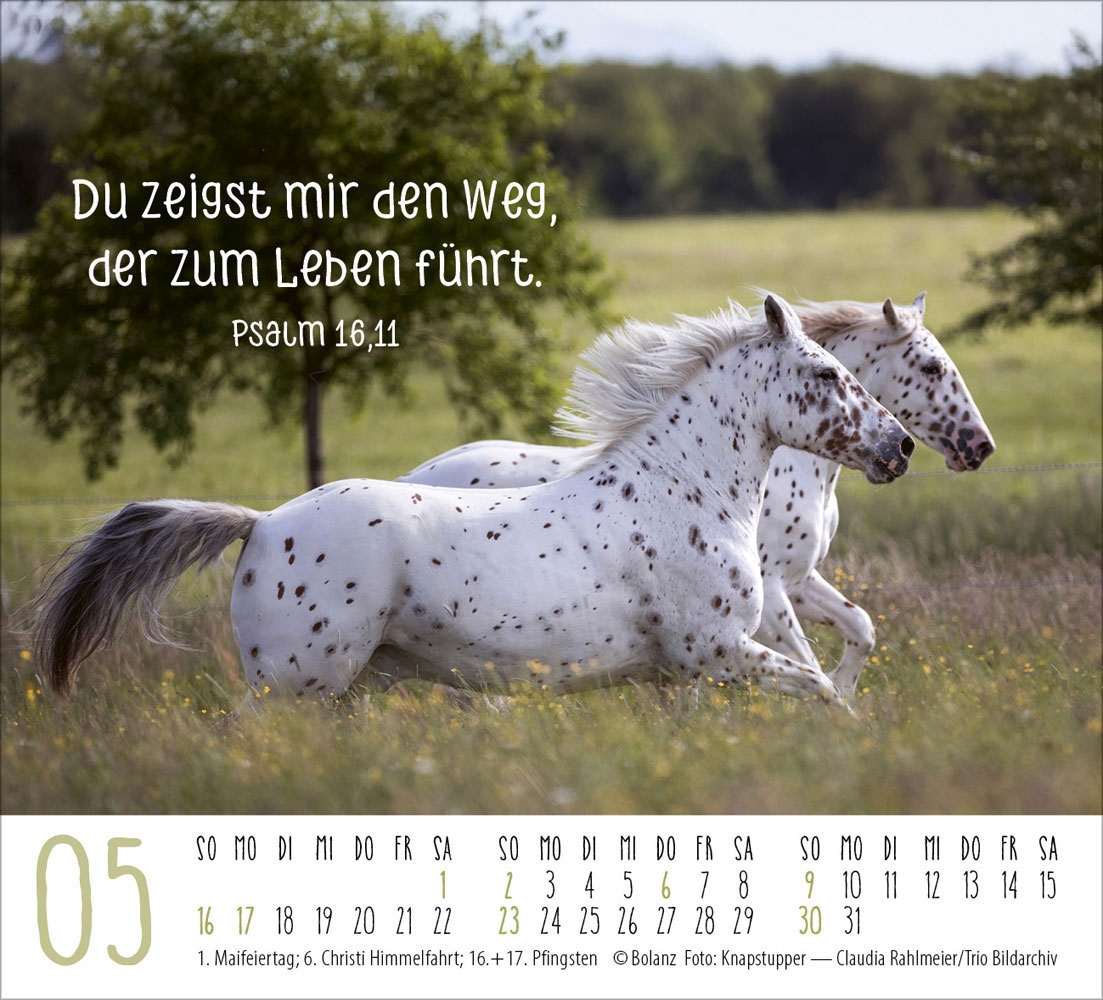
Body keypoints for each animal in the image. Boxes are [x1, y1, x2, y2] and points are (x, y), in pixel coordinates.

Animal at [32, 294, 913, 708]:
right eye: (826, 374)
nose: (899, 445)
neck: (682, 492)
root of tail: (262, 523)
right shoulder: (717, 650)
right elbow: (820, 689)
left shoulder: (686, 671)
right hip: (293, 684)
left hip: (334, 690)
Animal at [398, 293, 994, 696]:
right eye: (931, 366)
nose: (979, 446)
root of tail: (410, 477)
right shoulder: (774, 590)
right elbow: (804, 659)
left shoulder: (799, 580)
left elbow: (860, 629)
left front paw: (846, 694)